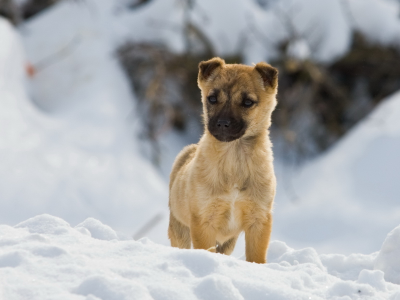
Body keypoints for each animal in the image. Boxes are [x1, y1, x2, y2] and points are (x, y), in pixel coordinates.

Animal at [167, 56, 276, 262]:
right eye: (212, 98)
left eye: (248, 102)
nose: (223, 124)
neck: (234, 160)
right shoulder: (204, 221)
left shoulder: (258, 219)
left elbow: (256, 258)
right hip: (179, 229)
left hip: (228, 243)